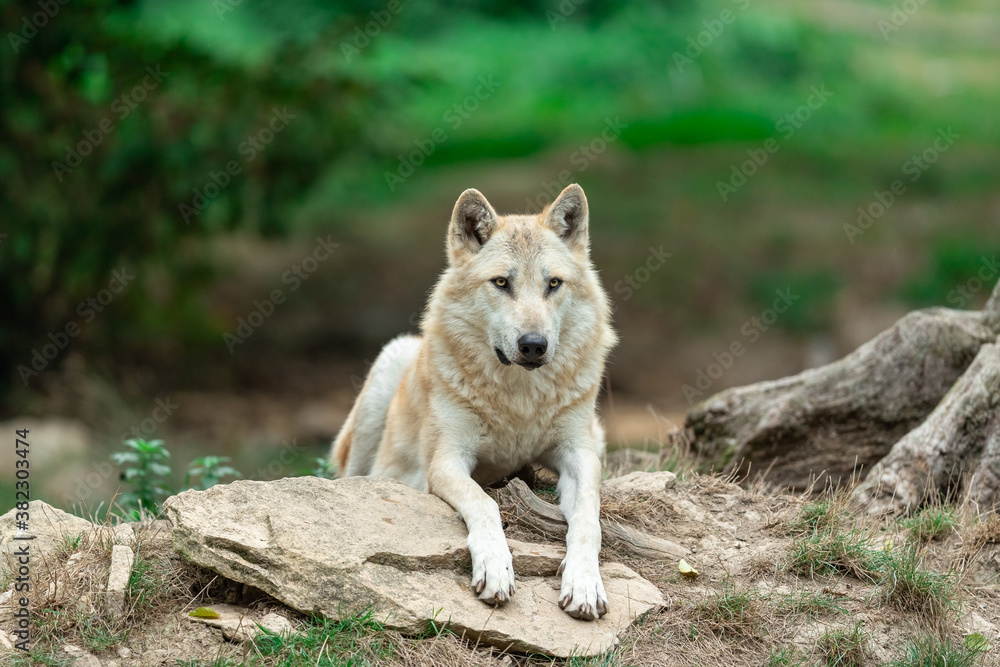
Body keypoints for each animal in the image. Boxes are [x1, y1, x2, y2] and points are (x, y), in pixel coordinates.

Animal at [332, 183, 616, 620]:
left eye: (553, 284)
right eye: (501, 283)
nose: (534, 345)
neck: (518, 399)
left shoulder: (580, 453)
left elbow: (588, 516)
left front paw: (584, 584)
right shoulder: (447, 460)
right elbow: (485, 504)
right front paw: (496, 570)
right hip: (389, 365)